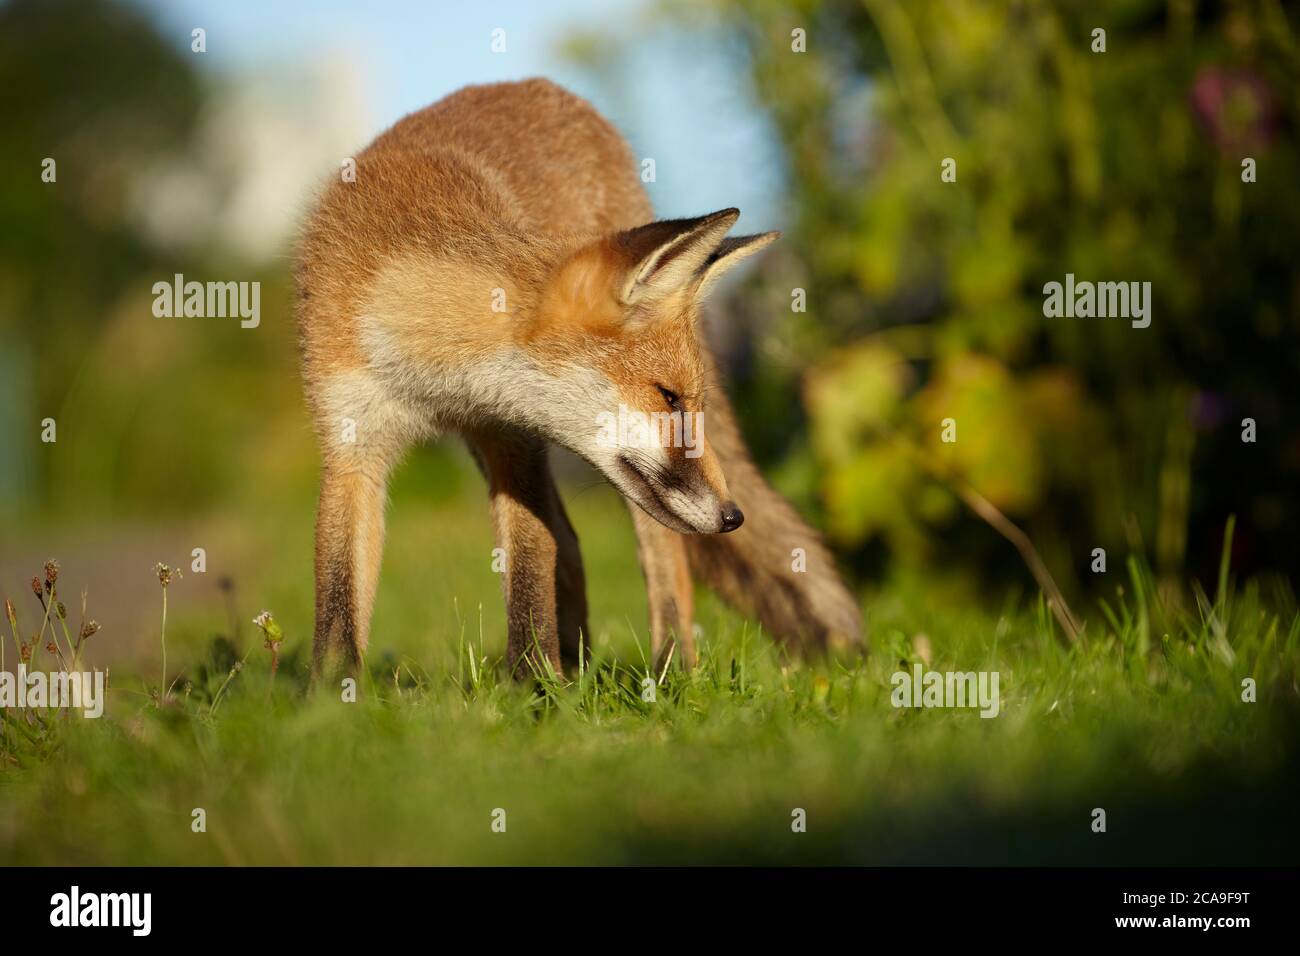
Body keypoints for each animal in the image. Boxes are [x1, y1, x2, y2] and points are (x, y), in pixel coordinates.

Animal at [295, 80, 863, 681]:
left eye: (687, 401)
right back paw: (576, 665)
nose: (734, 516)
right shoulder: (352, 444)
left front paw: (533, 687)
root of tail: (547, 88)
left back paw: (668, 670)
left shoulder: (514, 445)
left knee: (657, 555)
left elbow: (529, 571)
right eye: (668, 397)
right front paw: (332, 694)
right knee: (570, 544)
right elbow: (338, 602)